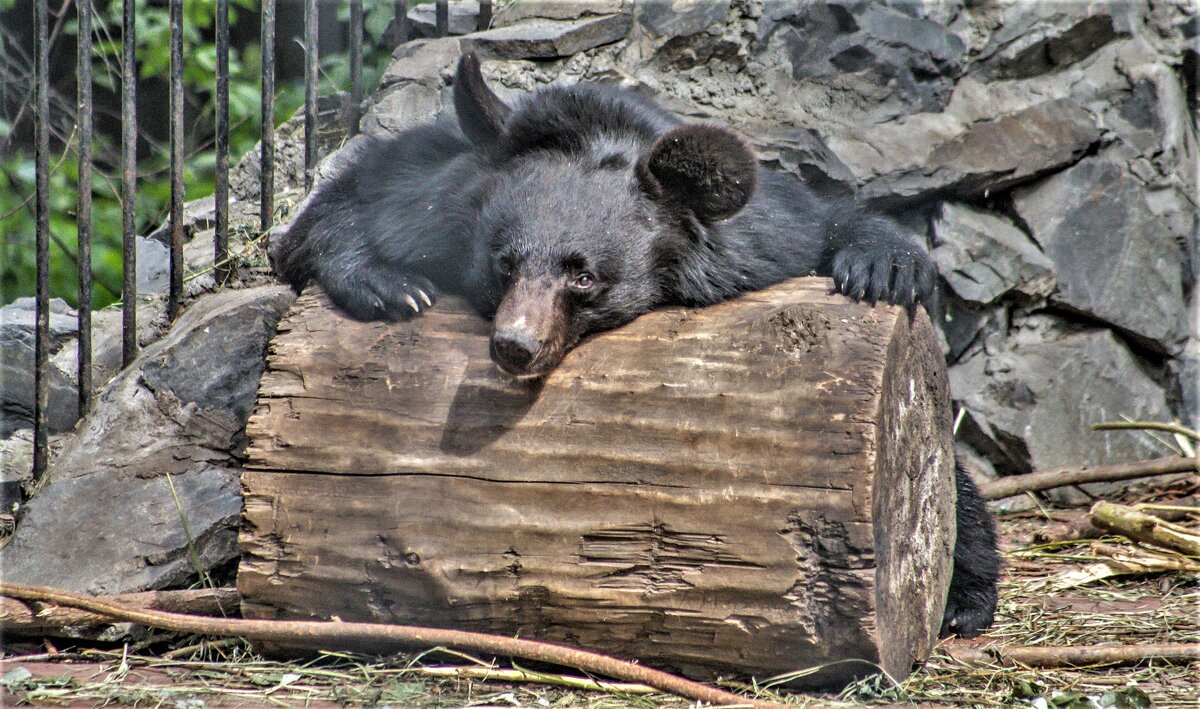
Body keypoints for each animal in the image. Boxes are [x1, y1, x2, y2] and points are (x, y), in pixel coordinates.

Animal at [276, 49, 998, 638]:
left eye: (582, 275)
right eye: (504, 264)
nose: (514, 346)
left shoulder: (768, 242)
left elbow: (827, 225)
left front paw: (883, 269)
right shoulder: (419, 190)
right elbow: (332, 218)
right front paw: (391, 285)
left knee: (956, 490)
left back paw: (963, 603)